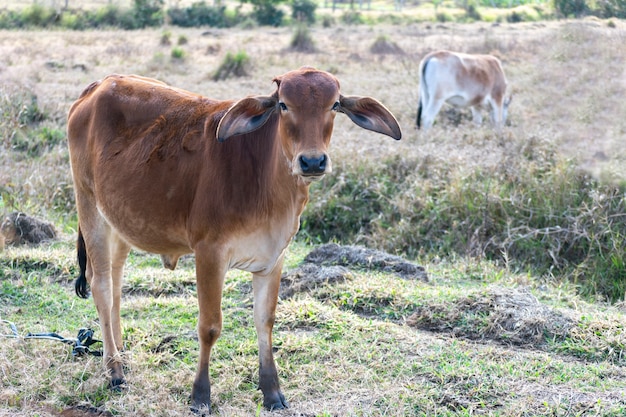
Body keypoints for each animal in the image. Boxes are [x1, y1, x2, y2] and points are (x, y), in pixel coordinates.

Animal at [68, 66, 400, 412]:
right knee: (102, 286)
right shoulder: (209, 253)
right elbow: (210, 326)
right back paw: (114, 370)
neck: (267, 181)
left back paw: (119, 353)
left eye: (334, 104)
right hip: (89, 206)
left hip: (120, 221)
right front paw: (200, 395)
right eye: (283, 105)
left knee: (115, 284)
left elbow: (265, 320)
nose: (312, 161)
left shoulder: (274, 258)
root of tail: (100, 84)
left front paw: (272, 392)